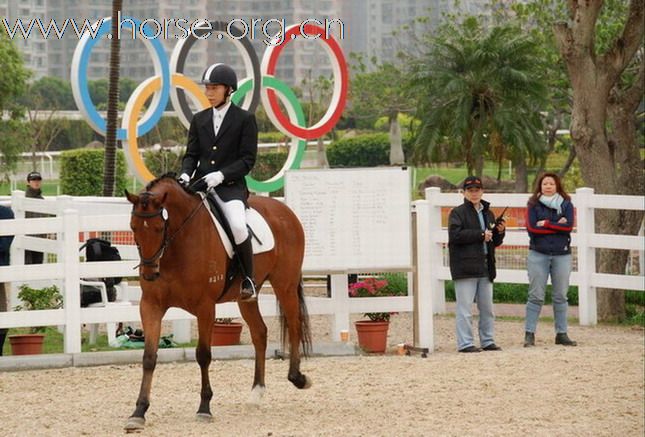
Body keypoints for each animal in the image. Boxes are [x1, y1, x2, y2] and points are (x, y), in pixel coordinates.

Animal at [124, 174, 312, 430]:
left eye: (159, 227)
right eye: (133, 227)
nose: (150, 273)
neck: (178, 242)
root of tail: (285, 210)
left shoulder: (205, 307)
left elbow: (203, 355)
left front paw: (204, 407)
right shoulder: (151, 306)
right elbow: (149, 358)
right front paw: (139, 411)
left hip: (285, 285)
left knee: (294, 325)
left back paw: (297, 378)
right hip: (247, 297)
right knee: (260, 333)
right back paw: (257, 392)